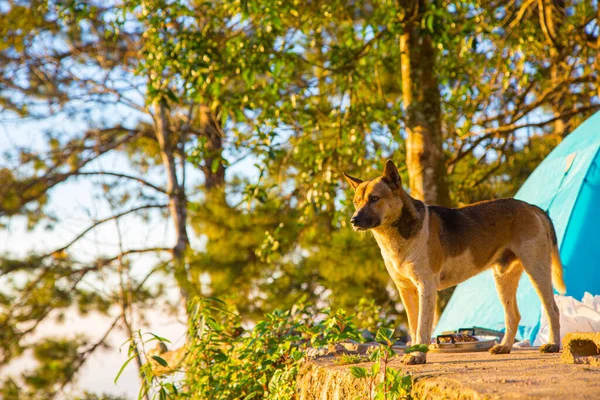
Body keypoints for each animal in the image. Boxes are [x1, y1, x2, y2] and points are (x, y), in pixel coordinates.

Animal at [344, 160, 564, 366]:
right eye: (356, 202)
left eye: (374, 199)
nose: (353, 220)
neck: (395, 235)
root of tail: (531, 207)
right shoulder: (405, 290)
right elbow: (414, 327)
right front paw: (413, 353)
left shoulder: (426, 286)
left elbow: (422, 327)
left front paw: (418, 356)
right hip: (503, 278)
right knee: (513, 316)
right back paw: (504, 347)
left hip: (536, 269)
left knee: (552, 309)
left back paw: (553, 345)